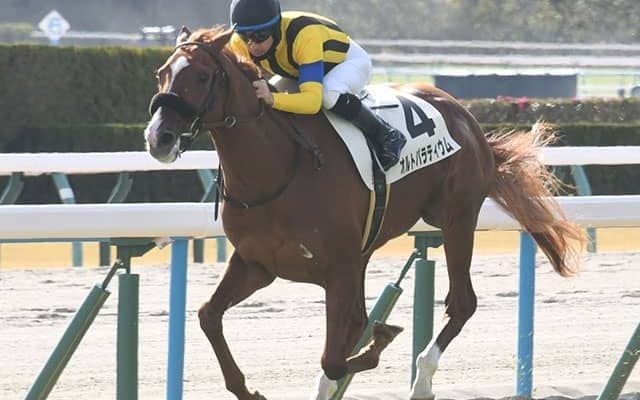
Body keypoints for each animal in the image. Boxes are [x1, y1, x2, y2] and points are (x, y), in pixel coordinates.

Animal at [143, 25, 585, 400]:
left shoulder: (337, 267)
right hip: (371, 245)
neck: (279, 169)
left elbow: (335, 359)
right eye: (161, 73)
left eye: (202, 76)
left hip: (457, 217)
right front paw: (249, 389)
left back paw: (422, 380)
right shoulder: (257, 263)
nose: (158, 137)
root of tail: (467, 119)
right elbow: (208, 316)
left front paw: (384, 337)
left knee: (461, 303)